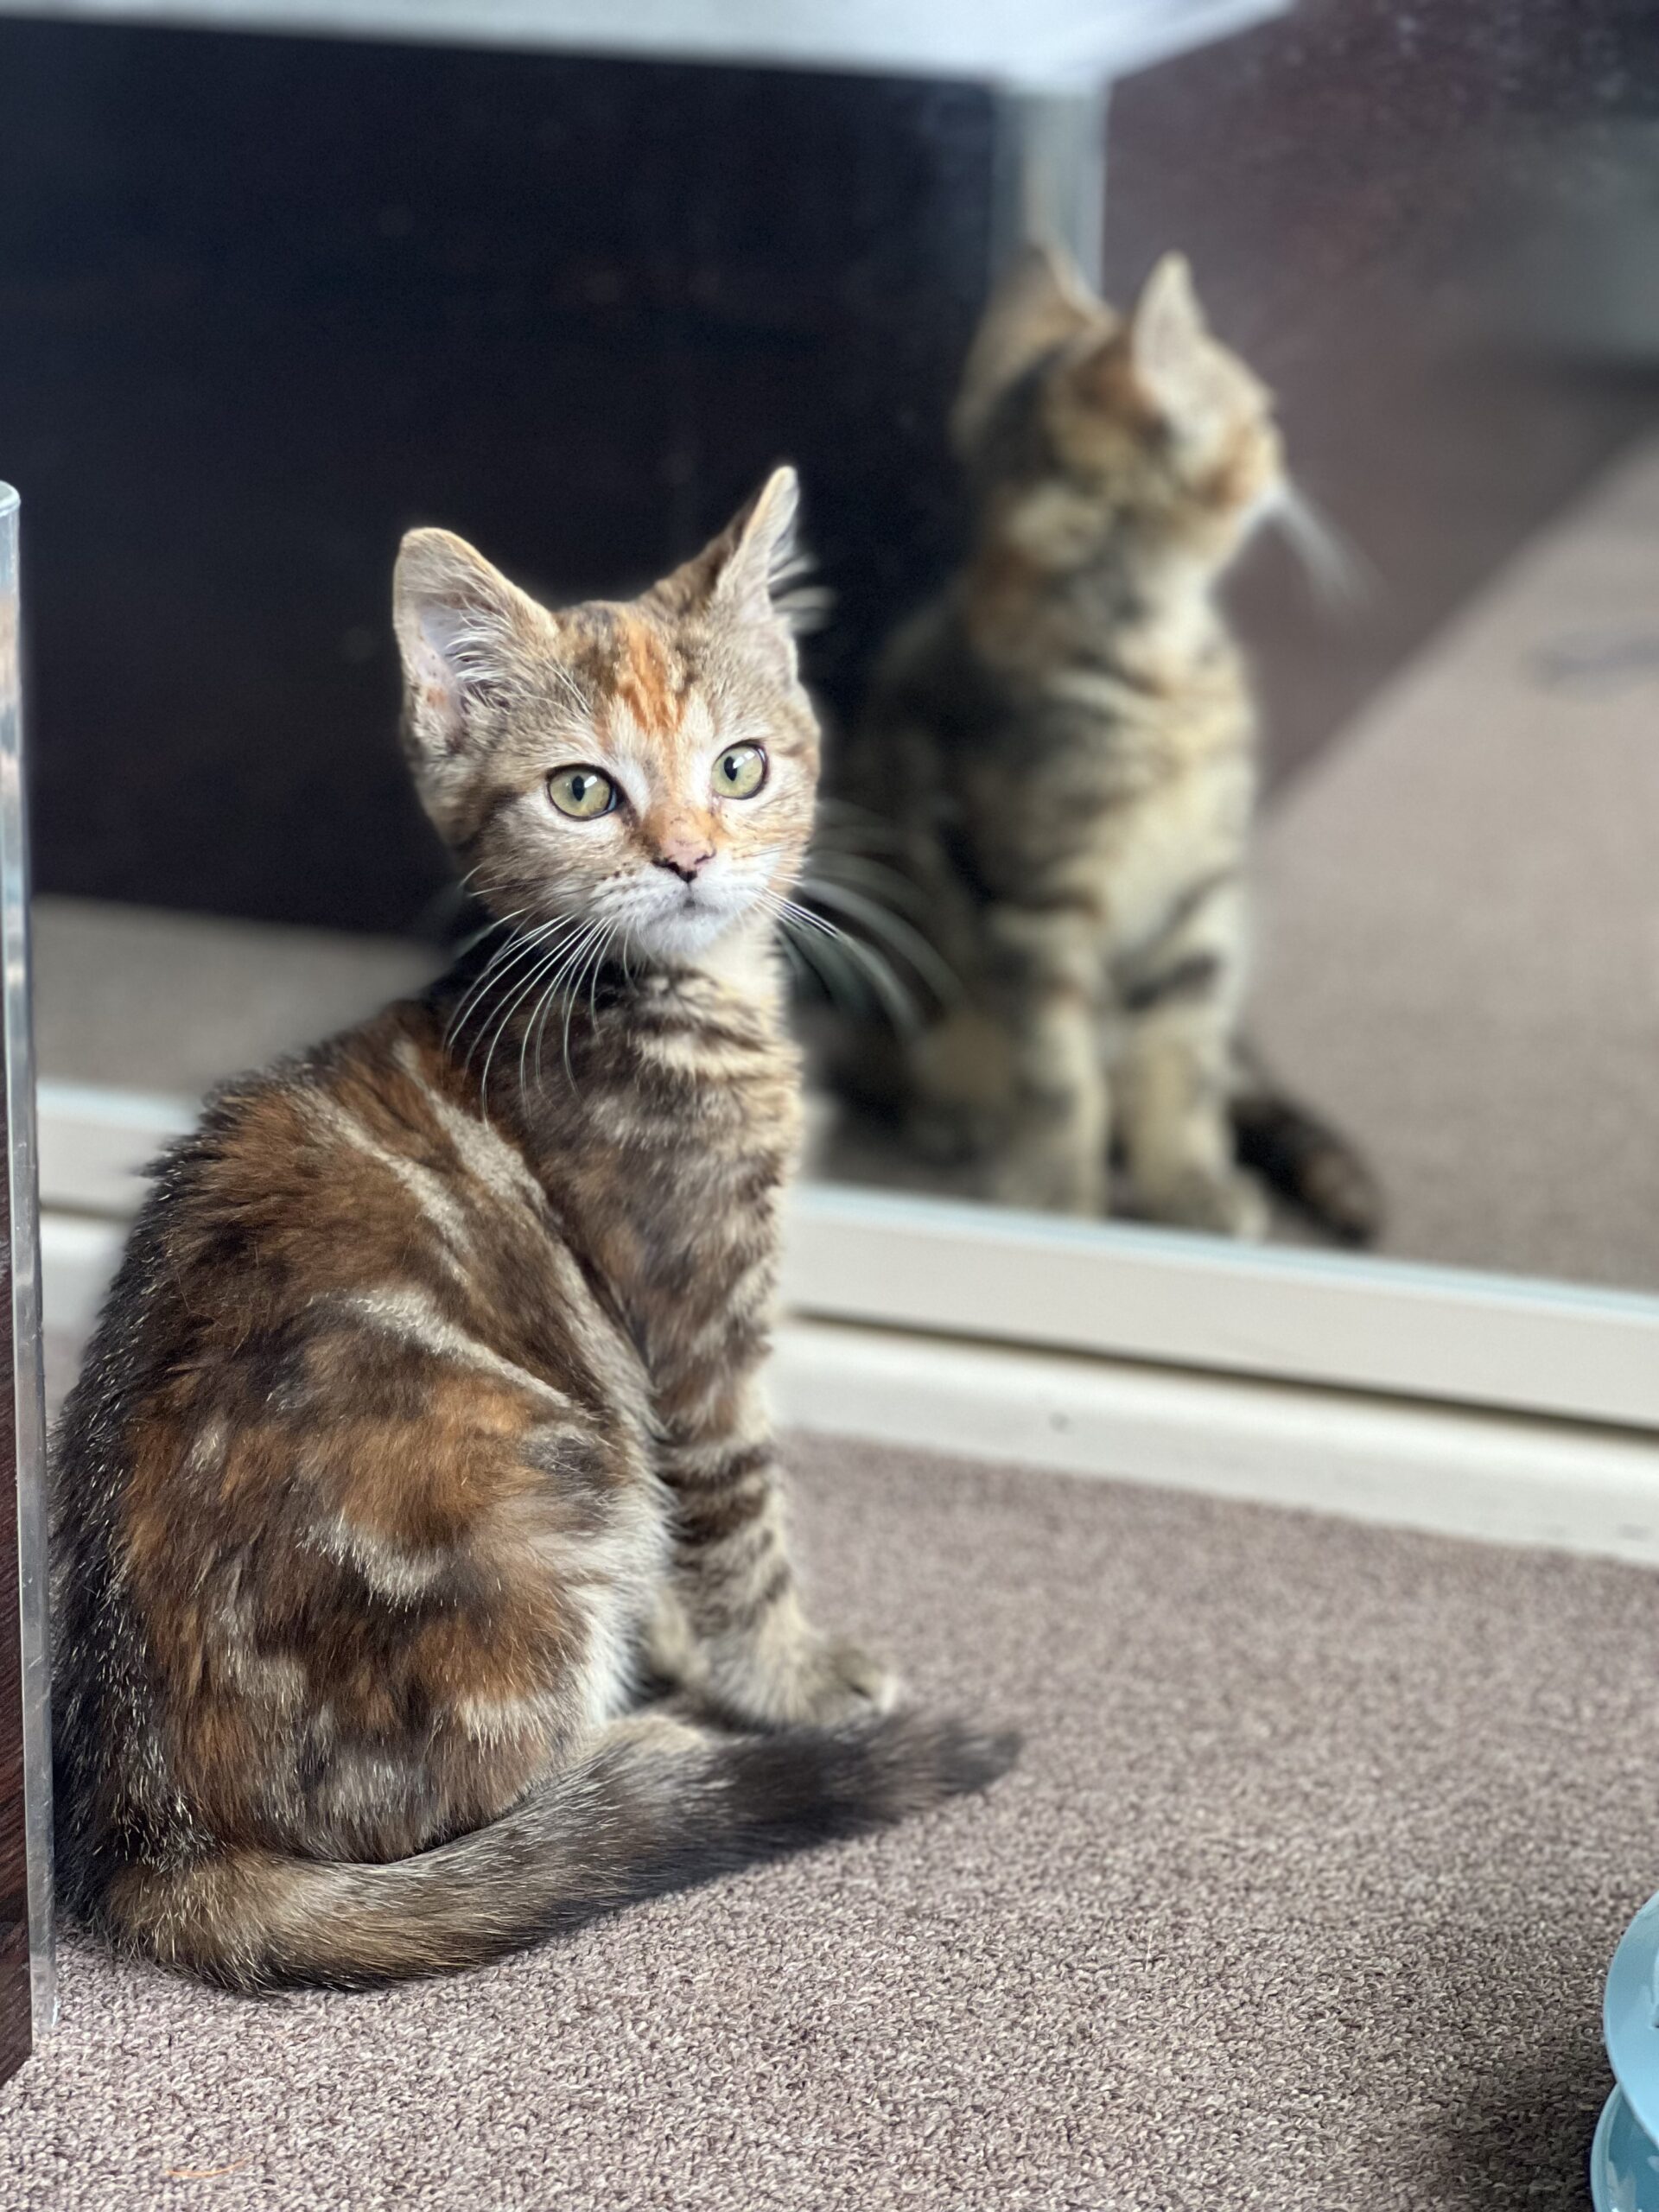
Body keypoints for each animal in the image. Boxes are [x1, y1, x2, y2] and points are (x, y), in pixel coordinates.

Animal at [49, 467, 1014, 1993]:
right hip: (546, 1485)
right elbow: (740, 1521)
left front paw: (701, 1642)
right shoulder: (694, 1324)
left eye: (740, 768)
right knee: (461, 1805)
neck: (656, 999)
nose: (688, 858)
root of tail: (153, 1838)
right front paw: (788, 1680)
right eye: (581, 792)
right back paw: (639, 1763)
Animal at [830, 246, 1380, 1242]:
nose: (1283, 450)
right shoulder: (1031, 897)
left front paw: (1189, 1179)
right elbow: (1057, 1064)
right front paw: (1056, 1181)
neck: (1161, 668)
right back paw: (955, 1114)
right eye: (1258, 418)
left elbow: (1181, 1057)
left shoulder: (1202, 891)